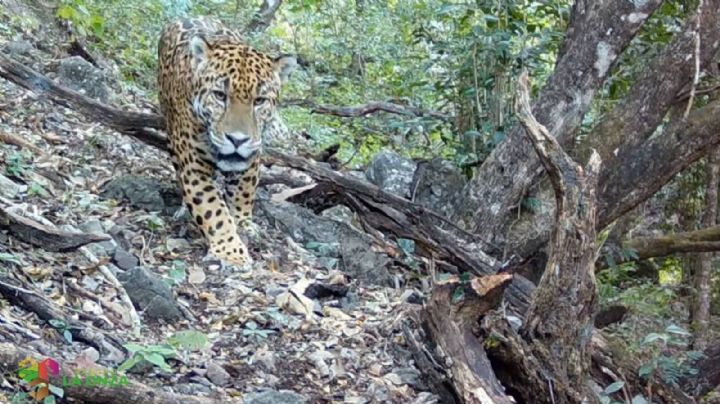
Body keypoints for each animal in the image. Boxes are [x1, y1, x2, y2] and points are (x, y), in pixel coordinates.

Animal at [157, 17, 296, 268]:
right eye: (220, 95)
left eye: (259, 100)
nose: (237, 140)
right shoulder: (194, 166)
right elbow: (213, 210)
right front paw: (231, 252)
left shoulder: (251, 158)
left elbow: (243, 193)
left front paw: (243, 223)